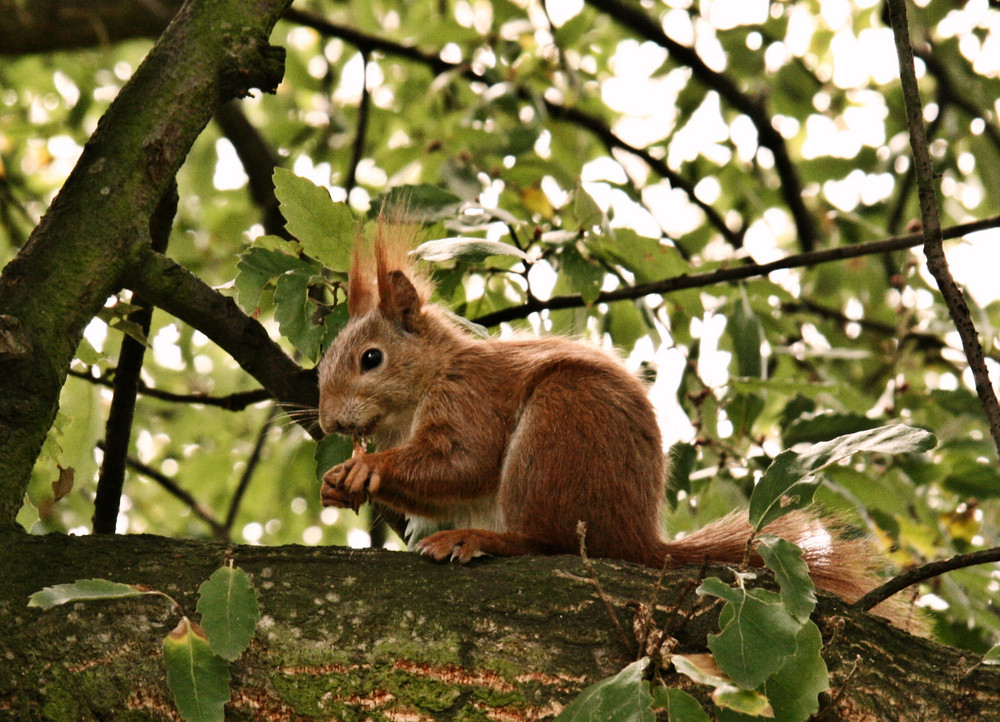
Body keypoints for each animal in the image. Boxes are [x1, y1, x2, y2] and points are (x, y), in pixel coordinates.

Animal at [322, 218, 900, 608]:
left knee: (547, 542)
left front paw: (369, 467)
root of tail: (638, 538)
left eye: (371, 359)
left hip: (556, 433)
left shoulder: (471, 399)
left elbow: (464, 463)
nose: (328, 422)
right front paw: (337, 483)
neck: (432, 376)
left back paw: (481, 539)